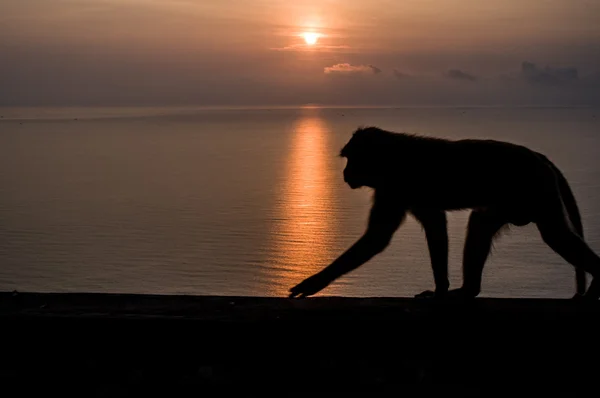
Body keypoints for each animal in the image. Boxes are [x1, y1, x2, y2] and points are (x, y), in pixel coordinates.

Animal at [288, 126, 596, 300]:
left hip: (535, 188)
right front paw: (440, 289)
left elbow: (377, 238)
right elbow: (435, 224)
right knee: (482, 223)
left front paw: (315, 282)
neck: (391, 157)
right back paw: (468, 290)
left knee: (556, 236)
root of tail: (538, 156)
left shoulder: (395, 186)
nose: (345, 173)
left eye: (352, 159)